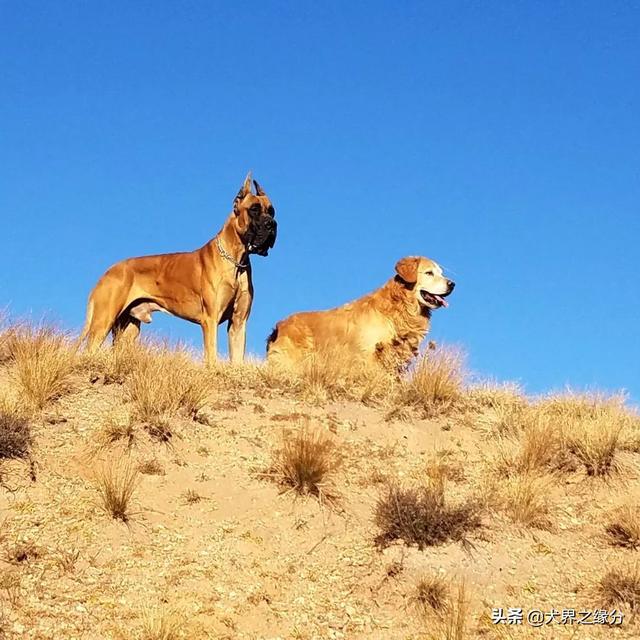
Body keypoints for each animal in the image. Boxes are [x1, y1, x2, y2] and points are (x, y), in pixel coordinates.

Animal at [79, 172, 276, 364]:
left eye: (272, 211)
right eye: (254, 209)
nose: (272, 224)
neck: (236, 261)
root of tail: (108, 272)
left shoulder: (238, 323)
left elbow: (237, 361)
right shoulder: (210, 320)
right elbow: (212, 357)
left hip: (127, 329)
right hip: (103, 321)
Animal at [266, 256, 456, 370]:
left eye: (441, 273)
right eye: (429, 273)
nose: (452, 284)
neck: (398, 308)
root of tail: (279, 325)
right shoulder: (367, 356)